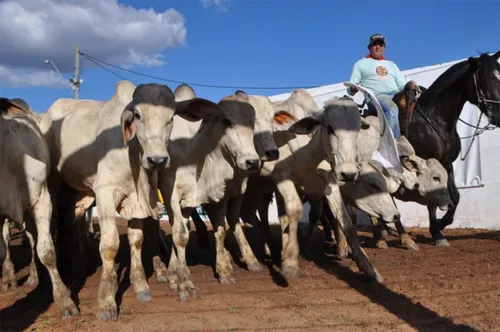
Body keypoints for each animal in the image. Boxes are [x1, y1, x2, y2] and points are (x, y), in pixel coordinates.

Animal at [41, 81, 223, 322]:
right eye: (137, 114)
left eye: (172, 116)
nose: (157, 160)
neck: (133, 155)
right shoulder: (105, 193)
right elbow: (109, 246)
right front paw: (106, 302)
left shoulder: (138, 201)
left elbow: (136, 240)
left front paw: (141, 286)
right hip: (54, 182)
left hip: (73, 189)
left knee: (69, 224)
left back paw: (78, 267)